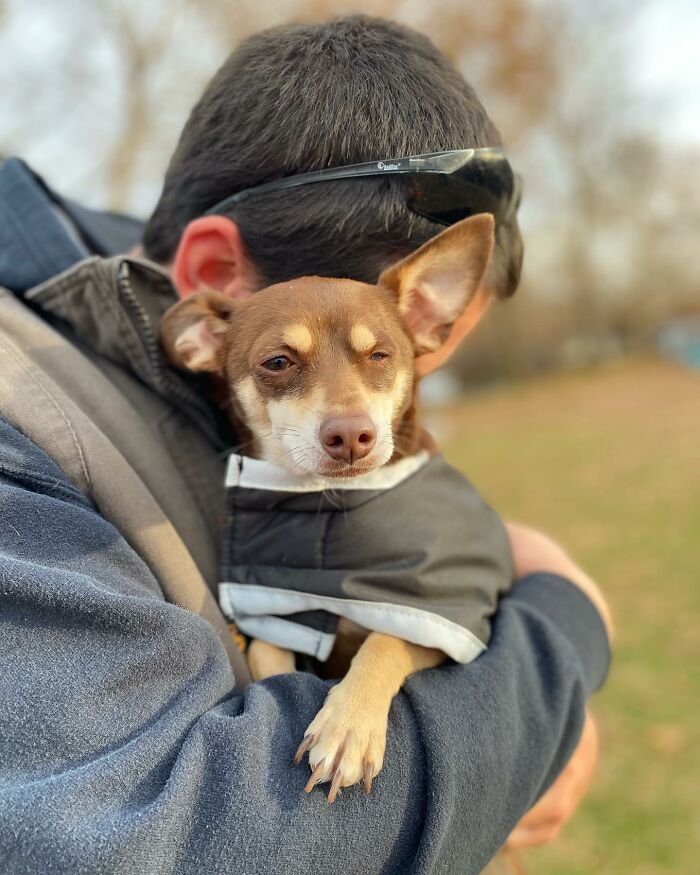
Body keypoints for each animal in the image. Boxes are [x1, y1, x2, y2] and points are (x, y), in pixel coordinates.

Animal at [163, 216, 516, 804]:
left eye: (380, 356)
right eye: (277, 363)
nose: (351, 435)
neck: (330, 507)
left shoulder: (450, 617)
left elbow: (385, 639)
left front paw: (348, 725)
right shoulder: (278, 614)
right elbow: (269, 656)